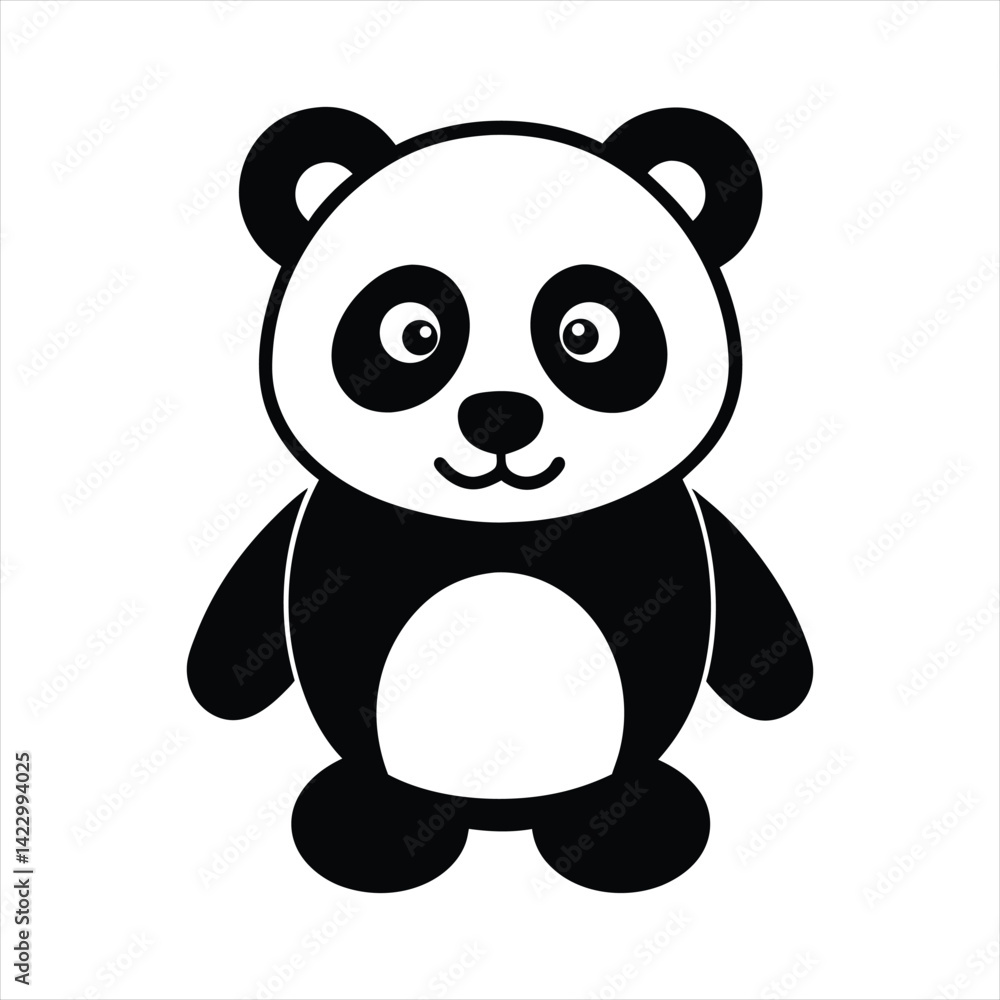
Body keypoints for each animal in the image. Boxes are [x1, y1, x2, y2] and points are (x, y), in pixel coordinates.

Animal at [188, 107, 813, 893]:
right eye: (413, 333)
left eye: (585, 332)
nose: (501, 416)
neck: (495, 528)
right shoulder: (336, 523)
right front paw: (216, 684)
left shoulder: (668, 519)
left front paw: (782, 682)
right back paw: (372, 828)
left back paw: (625, 830)